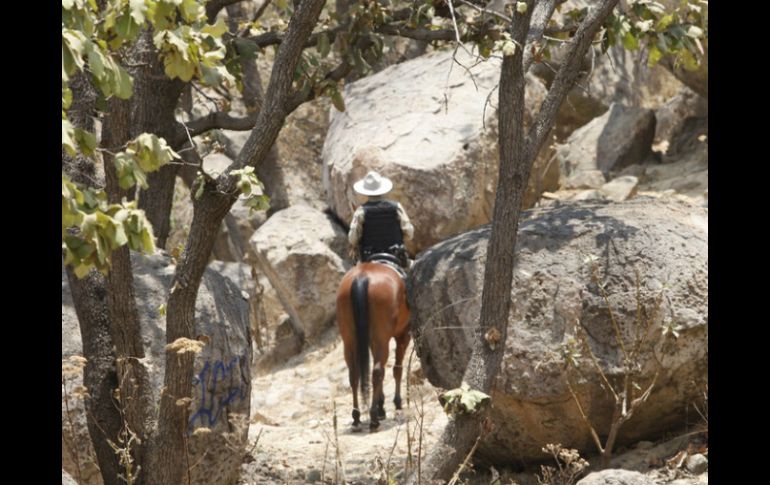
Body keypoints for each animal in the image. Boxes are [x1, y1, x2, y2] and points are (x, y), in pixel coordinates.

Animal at [334, 251, 412, 430]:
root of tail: (362, 278)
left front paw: (381, 405)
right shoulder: (403, 335)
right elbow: (397, 369)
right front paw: (396, 404)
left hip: (349, 339)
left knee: (354, 374)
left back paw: (357, 416)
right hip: (382, 337)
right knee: (377, 371)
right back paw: (374, 417)